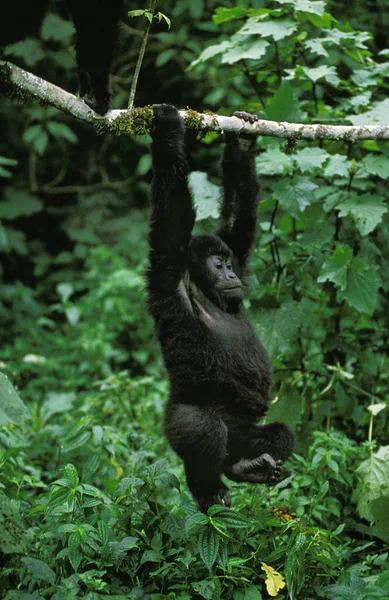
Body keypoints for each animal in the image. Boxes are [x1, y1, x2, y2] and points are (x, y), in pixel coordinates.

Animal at [147, 104, 292, 510]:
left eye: (228, 262)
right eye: (217, 264)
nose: (229, 274)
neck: (204, 289)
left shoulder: (236, 246)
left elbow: (239, 215)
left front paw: (241, 140)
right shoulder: (169, 271)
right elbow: (172, 217)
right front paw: (167, 135)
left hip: (245, 432)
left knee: (280, 434)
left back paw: (245, 468)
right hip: (177, 420)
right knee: (203, 429)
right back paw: (208, 488)